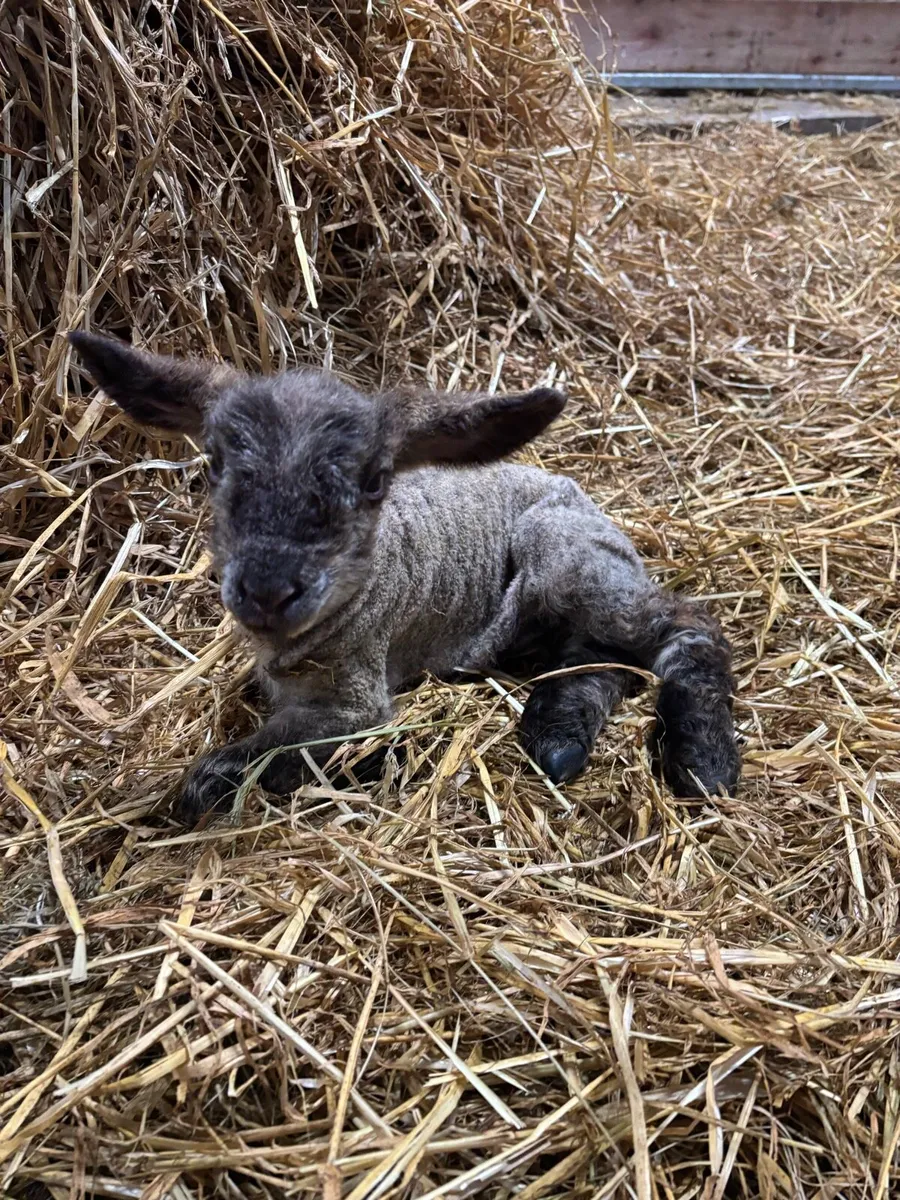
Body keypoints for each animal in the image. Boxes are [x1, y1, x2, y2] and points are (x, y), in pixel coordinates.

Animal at [69, 332, 741, 825]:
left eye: (374, 482)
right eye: (213, 464)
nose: (266, 591)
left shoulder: (358, 701)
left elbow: (243, 762)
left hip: (564, 551)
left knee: (687, 625)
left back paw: (703, 759)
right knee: (599, 656)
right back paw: (557, 737)